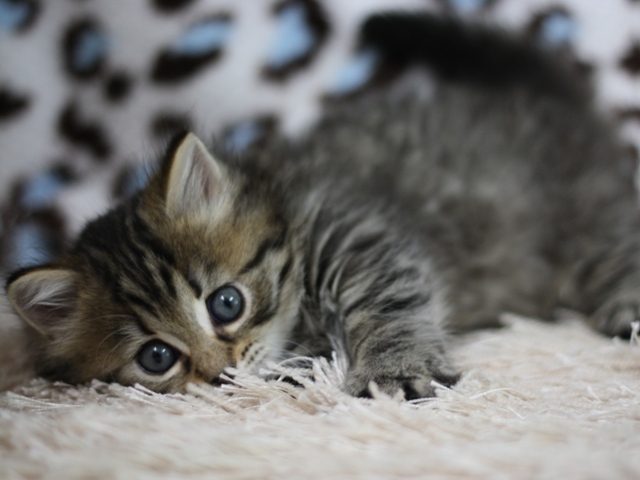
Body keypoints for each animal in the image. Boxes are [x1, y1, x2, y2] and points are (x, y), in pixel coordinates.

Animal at [5, 14, 640, 398]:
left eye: (227, 303)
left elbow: (388, 310)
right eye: (157, 357)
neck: (283, 204)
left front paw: (393, 371)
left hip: (589, 222)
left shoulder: (361, 238)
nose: (221, 371)